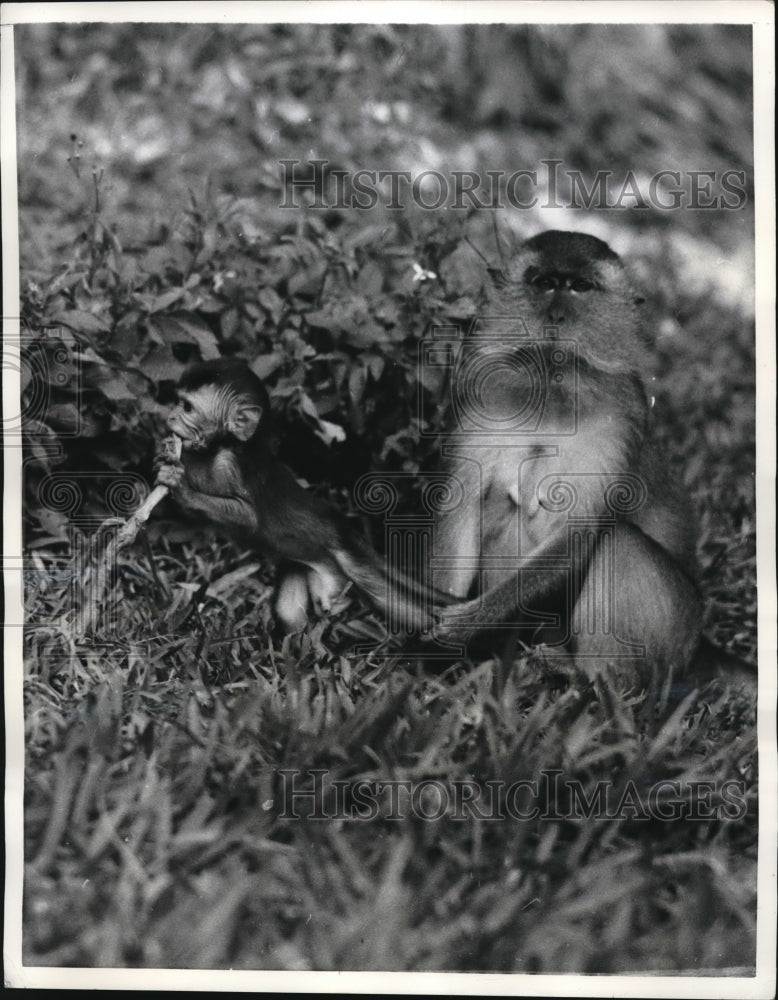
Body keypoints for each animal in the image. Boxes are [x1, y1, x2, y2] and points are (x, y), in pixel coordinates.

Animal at [154, 358, 449, 635]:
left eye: (187, 407)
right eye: (179, 402)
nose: (170, 417)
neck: (225, 445)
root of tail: (345, 529)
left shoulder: (229, 465)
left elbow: (248, 518)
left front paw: (180, 486)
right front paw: (162, 458)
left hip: (351, 560)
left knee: (409, 613)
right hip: (306, 566)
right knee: (290, 613)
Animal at [432, 230, 754, 692]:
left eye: (580, 287)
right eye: (544, 282)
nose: (557, 314)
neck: (552, 386)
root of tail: (699, 650)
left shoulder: (621, 416)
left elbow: (580, 533)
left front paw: (466, 623)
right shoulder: (482, 398)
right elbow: (464, 505)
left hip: (672, 636)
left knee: (619, 542)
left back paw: (590, 677)